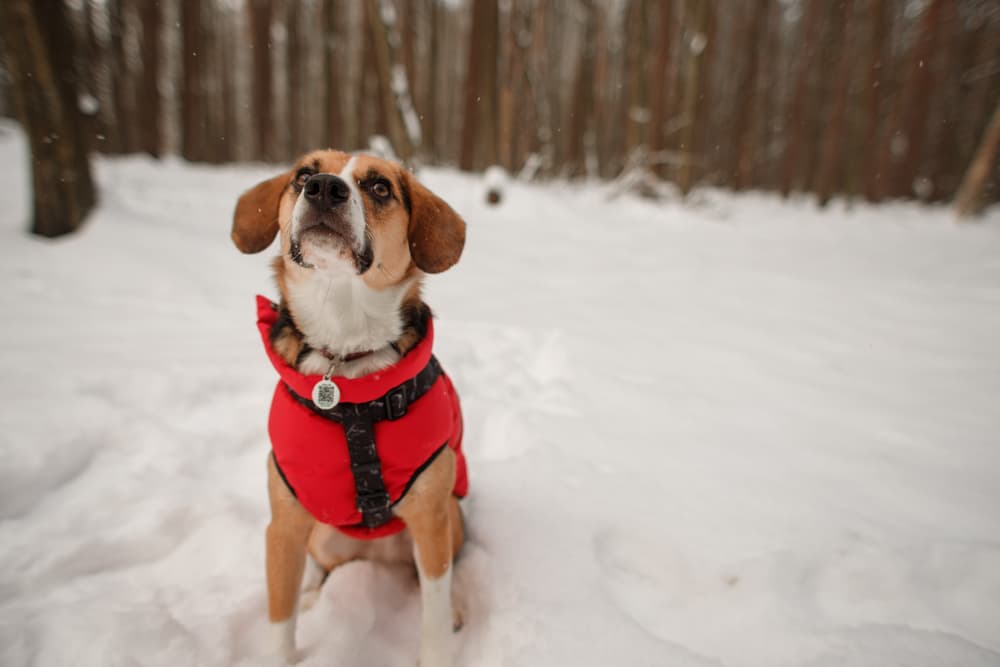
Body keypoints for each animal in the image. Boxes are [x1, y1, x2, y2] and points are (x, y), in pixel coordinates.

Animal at [231, 151, 468, 667]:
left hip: (452, 519)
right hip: (320, 534)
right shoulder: (284, 526)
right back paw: (313, 597)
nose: (322, 188)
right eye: (303, 173)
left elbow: (434, 612)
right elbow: (280, 621)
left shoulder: (432, 518)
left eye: (379, 187)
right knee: (319, 569)